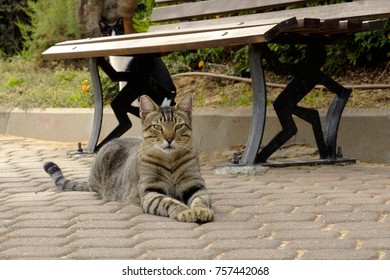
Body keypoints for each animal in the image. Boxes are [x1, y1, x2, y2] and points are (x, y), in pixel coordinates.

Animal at [44, 94, 215, 223]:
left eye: (179, 126)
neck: (170, 160)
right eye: (157, 127)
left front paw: (201, 210)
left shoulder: (194, 185)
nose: (169, 139)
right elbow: (168, 201)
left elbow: (201, 199)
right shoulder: (151, 191)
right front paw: (185, 211)